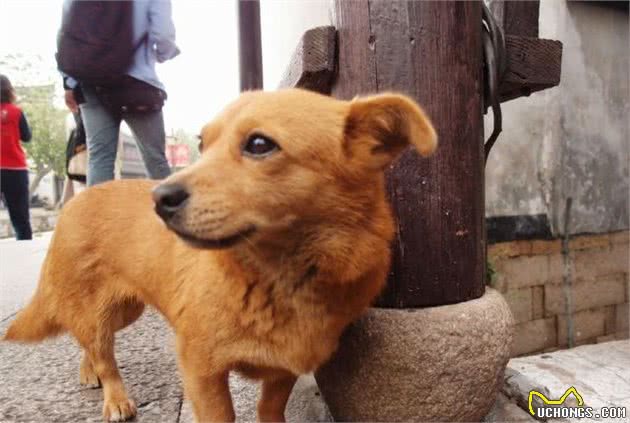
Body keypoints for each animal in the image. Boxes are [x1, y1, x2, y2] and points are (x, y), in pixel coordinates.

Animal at [4, 88, 436, 422]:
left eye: (259, 144)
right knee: (100, 348)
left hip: (126, 309)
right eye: (202, 144)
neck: (280, 278)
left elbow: (269, 409)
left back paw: (88, 370)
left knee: (90, 340)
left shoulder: (282, 370)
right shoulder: (201, 370)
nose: (159, 199)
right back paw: (114, 396)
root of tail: (76, 200)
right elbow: (221, 414)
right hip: (96, 306)